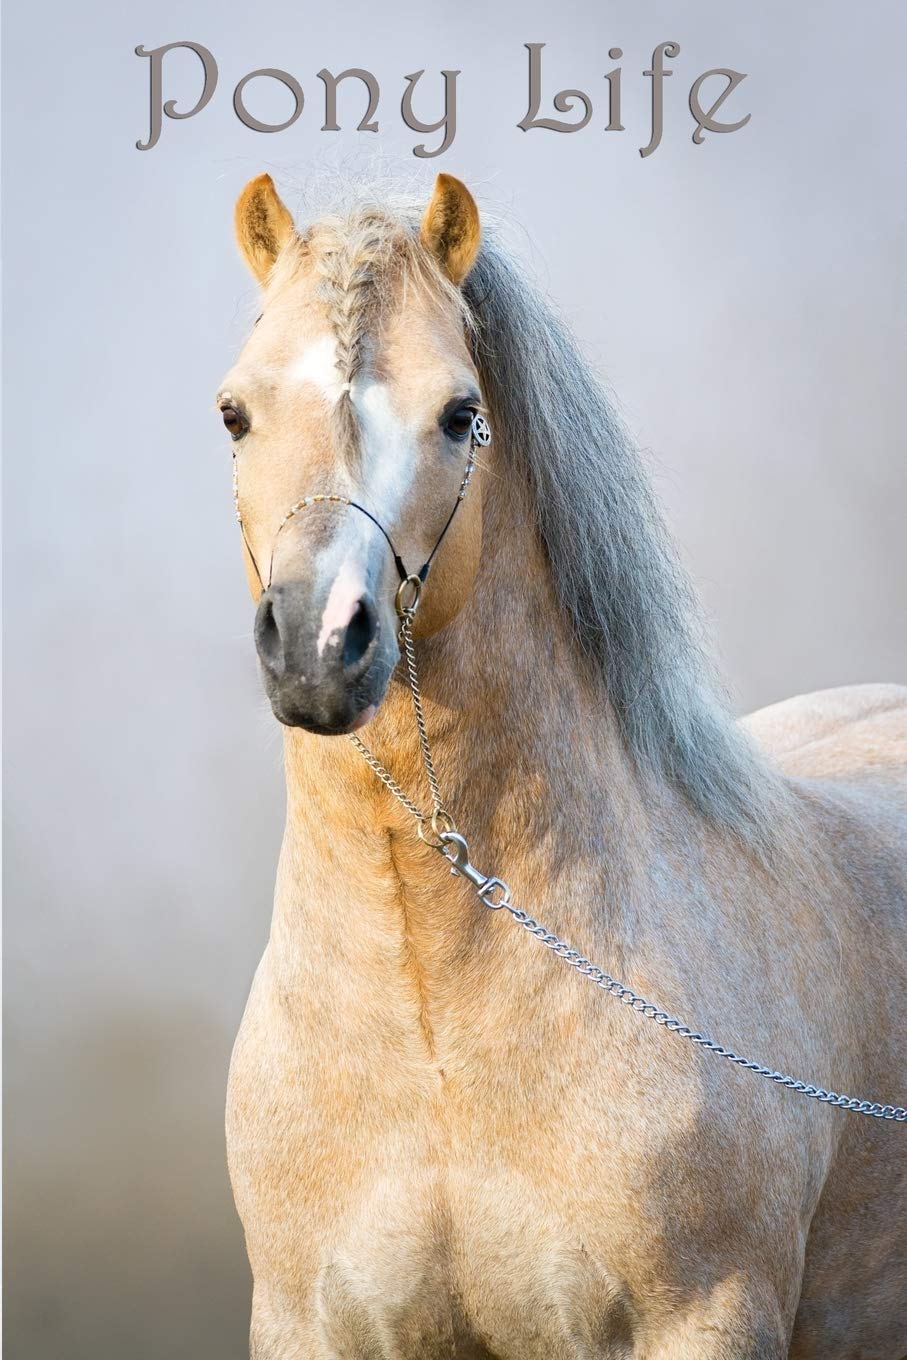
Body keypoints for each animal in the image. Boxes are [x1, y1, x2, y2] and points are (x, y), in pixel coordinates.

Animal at [217, 171, 907, 1359]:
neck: (433, 1039)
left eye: (459, 414)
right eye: (235, 412)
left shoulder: (705, 1318)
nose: (317, 641)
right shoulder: (310, 1327)